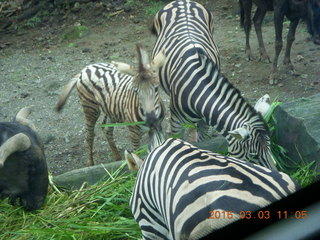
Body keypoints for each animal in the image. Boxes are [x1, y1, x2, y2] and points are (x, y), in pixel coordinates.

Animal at [152, 0, 278, 169]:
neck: (197, 86)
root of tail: (182, 1)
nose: (276, 173)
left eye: (270, 149)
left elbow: (202, 141)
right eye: (253, 156)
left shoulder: (205, 120)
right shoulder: (178, 122)